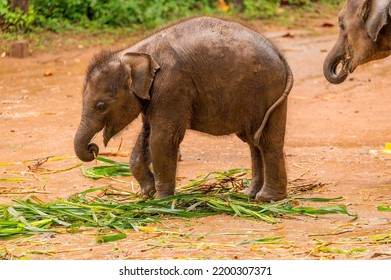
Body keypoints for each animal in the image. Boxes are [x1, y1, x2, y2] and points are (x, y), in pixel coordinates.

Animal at [74, 16, 294, 202]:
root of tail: (281, 56)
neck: (135, 52)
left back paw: (268, 199)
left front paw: (161, 200)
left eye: (100, 106)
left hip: (267, 91)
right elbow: (147, 133)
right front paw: (148, 193)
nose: (93, 148)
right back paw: (249, 195)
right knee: (253, 142)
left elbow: (162, 138)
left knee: (266, 141)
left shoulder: (171, 86)